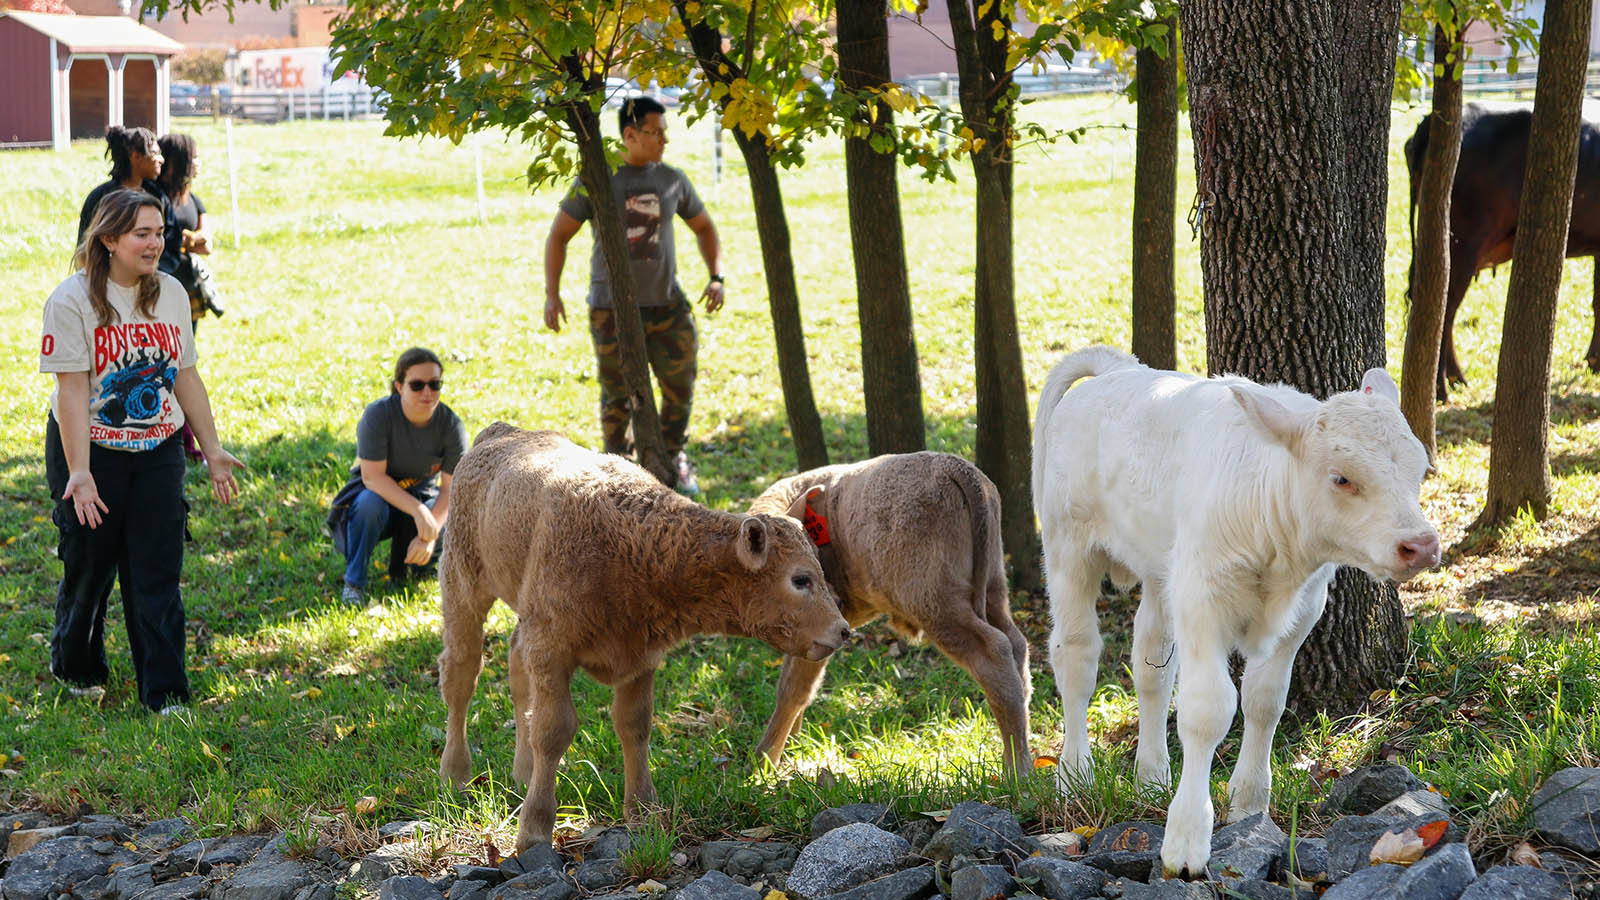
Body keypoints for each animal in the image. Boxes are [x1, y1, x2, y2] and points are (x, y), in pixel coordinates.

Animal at [1030, 342, 1446, 877]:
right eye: (1341, 478)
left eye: (1419, 468)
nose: (1422, 546)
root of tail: (1118, 371)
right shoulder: (1203, 602)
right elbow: (1207, 709)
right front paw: (1186, 839)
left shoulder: (1301, 613)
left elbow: (1265, 700)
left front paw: (1249, 803)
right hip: (1069, 549)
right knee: (1077, 657)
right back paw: (1075, 773)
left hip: (1163, 571)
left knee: (1151, 665)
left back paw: (1152, 777)